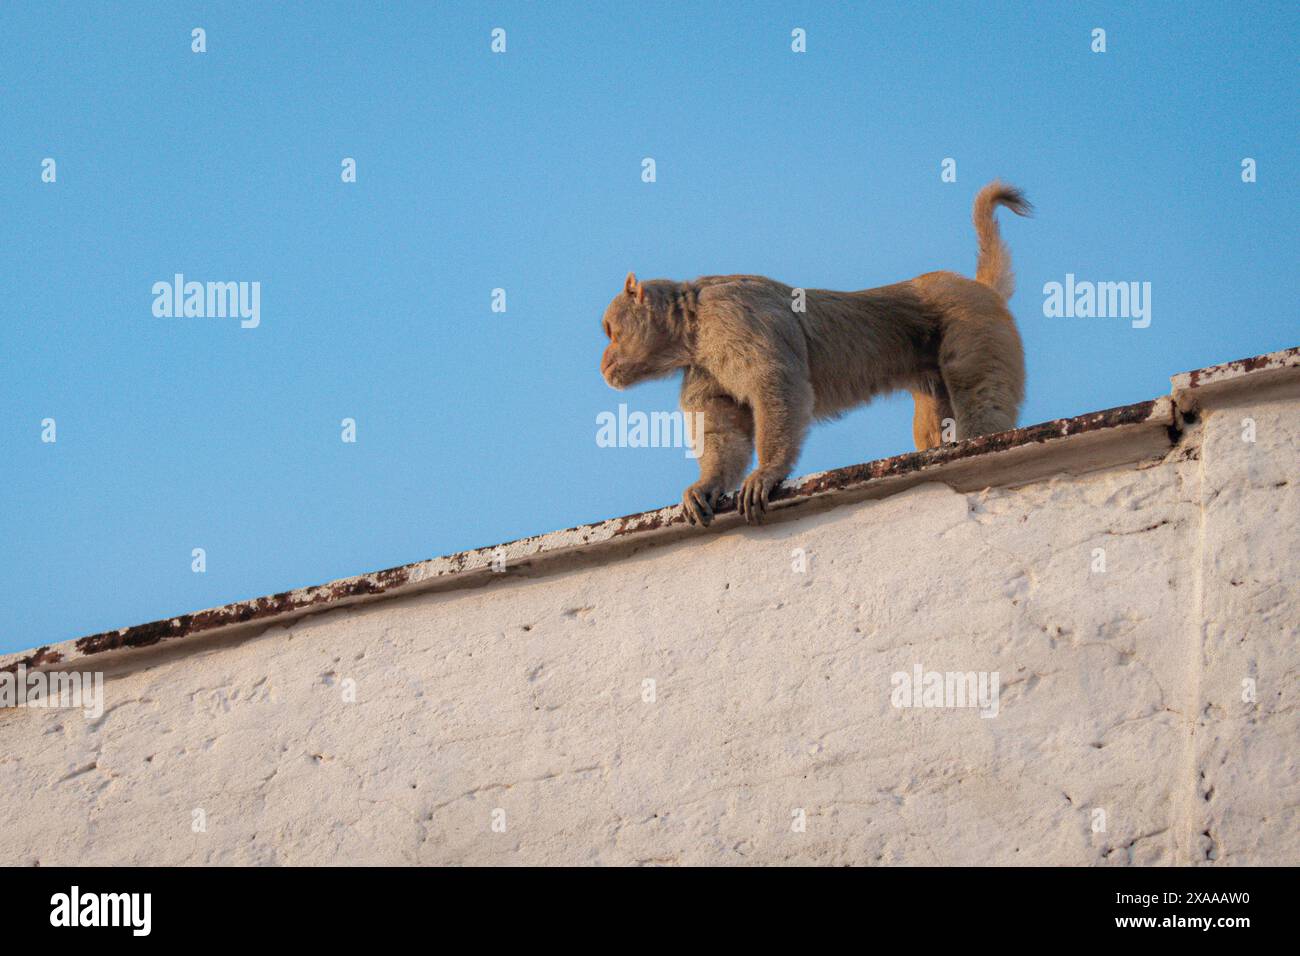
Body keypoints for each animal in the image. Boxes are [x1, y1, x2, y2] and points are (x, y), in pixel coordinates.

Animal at [600, 179, 1034, 530]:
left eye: (609, 331)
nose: (603, 361)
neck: (692, 322)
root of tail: (978, 288)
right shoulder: (701, 365)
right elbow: (722, 425)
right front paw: (707, 485)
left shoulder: (733, 319)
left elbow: (775, 383)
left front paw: (768, 471)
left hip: (973, 321)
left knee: (976, 387)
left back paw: (980, 440)